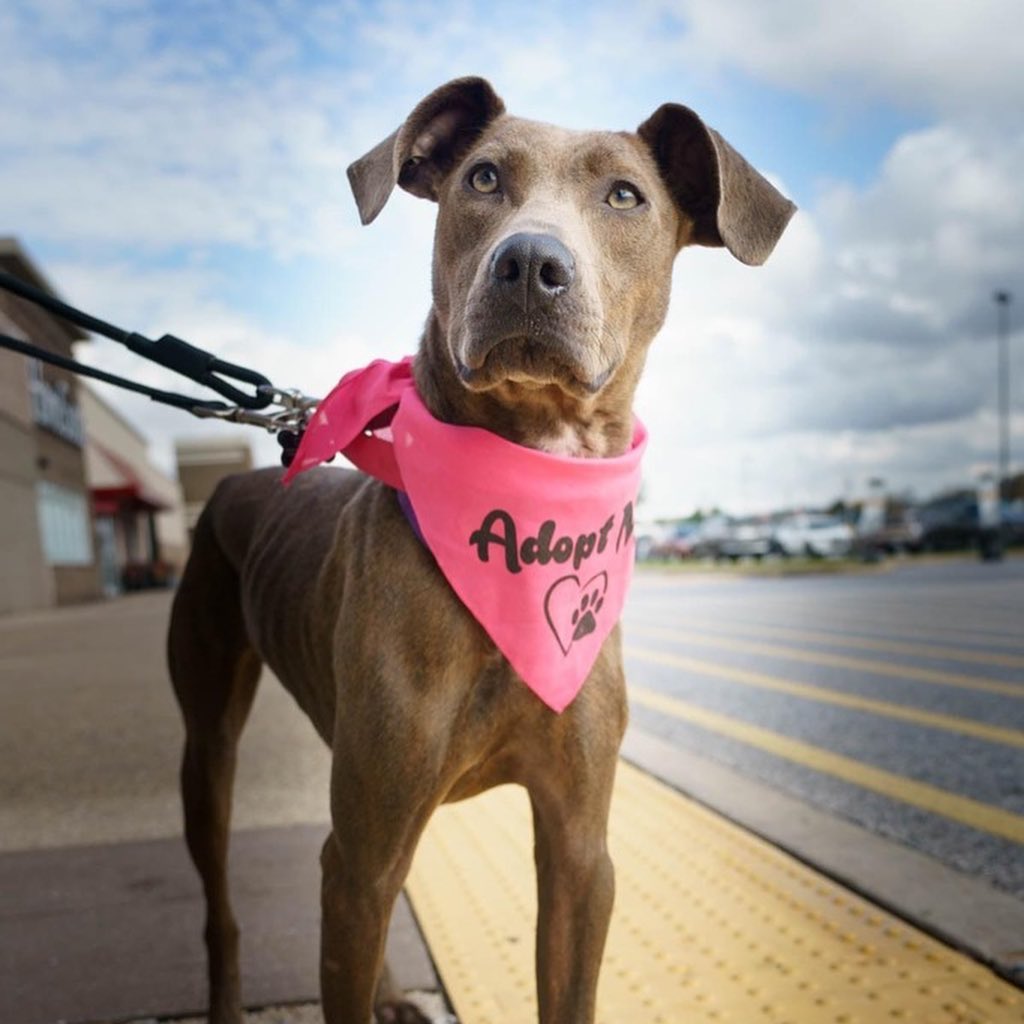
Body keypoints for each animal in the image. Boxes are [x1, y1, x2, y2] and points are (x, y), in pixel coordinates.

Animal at [165, 75, 790, 1019]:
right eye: (484, 178)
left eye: (625, 197)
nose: (530, 262)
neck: (530, 483)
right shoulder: (370, 850)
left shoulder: (580, 850)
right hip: (208, 749)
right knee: (220, 901)